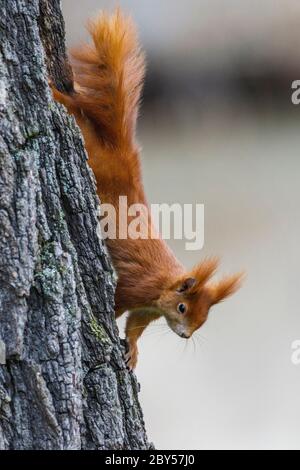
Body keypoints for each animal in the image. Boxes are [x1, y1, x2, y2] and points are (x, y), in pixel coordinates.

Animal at [52, 7, 244, 368]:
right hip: (92, 154)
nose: (185, 335)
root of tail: (119, 151)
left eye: (203, 320)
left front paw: (132, 349)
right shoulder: (135, 289)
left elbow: (135, 326)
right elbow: (115, 306)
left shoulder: (146, 311)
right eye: (183, 307)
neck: (162, 289)